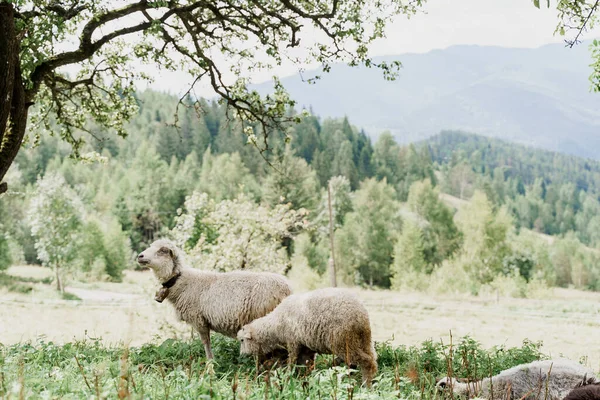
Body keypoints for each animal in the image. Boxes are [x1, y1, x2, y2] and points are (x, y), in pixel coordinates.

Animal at [138, 239, 292, 360]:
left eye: (162, 250)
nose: (140, 256)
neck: (181, 281)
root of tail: (287, 289)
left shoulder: (198, 319)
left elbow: (206, 342)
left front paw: (210, 363)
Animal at [237, 288, 378, 388]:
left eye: (242, 340)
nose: (241, 354)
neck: (275, 325)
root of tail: (361, 313)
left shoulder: (293, 342)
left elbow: (292, 362)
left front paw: (288, 378)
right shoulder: (305, 347)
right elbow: (306, 365)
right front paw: (305, 380)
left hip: (343, 340)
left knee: (366, 361)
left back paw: (366, 386)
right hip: (362, 340)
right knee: (370, 358)